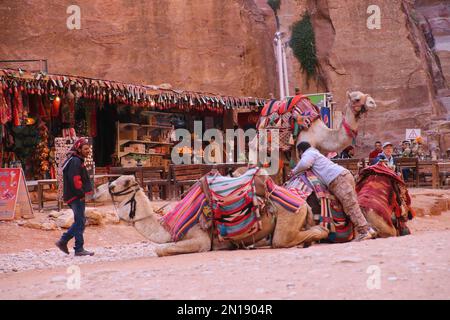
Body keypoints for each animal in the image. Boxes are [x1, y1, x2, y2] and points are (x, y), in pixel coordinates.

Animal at [96, 171, 328, 256]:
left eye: (113, 185)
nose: (96, 190)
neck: (169, 226)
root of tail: (303, 203)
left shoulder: (200, 238)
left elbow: (161, 250)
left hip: (289, 216)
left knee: (291, 237)